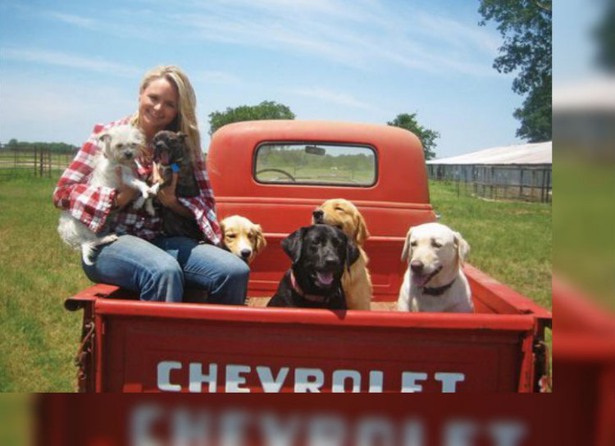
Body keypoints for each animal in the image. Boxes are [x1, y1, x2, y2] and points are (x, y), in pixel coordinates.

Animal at [58, 125, 155, 264]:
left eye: (133, 144)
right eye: (119, 145)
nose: (129, 154)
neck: (121, 162)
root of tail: (71, 237)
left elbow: (145, 192)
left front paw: (149, 206)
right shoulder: (126, 179)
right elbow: (142, 185)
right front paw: (146, 191)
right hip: (87, 227)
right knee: (93, 241)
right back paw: (106, 238)